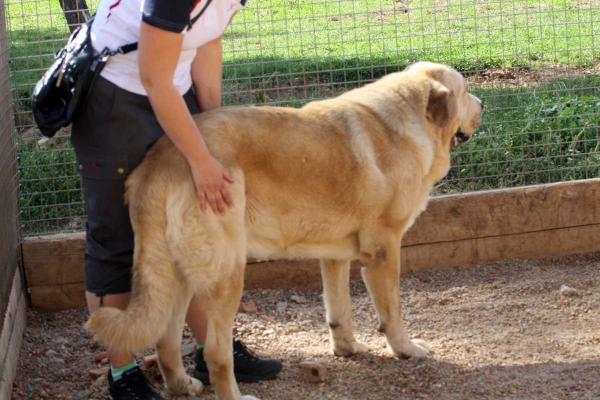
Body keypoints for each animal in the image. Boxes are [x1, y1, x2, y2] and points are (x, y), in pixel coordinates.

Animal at [86, 61, 482, 398]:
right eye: (464, 91)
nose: (482, 105)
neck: (409, 120)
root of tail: (161, 159)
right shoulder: (383, 252)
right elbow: (393, 314)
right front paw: (406, 350)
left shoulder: (334, 257)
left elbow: (339, 312)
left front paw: (347, 349)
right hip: (227, 275)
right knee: (215, 353)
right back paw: (236, 396)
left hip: (177, 275)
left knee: (166, 342)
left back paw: (182, 386)